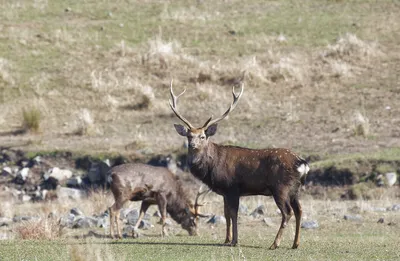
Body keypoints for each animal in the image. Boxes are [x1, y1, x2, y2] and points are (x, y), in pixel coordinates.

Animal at [169, 80, 310, 248]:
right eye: (189, 136)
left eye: (202, 136)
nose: (193, 145)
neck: (212, 167)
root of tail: (303, 164)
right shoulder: (224, 191)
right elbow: (226, 214)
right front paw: (226, 240)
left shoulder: (232, 187)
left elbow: (234, 214)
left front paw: (235, 241)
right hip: (295, 189)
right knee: (299, 210)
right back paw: (295, 244)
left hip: (281, 187)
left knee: (287, 212)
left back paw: (275, 244)